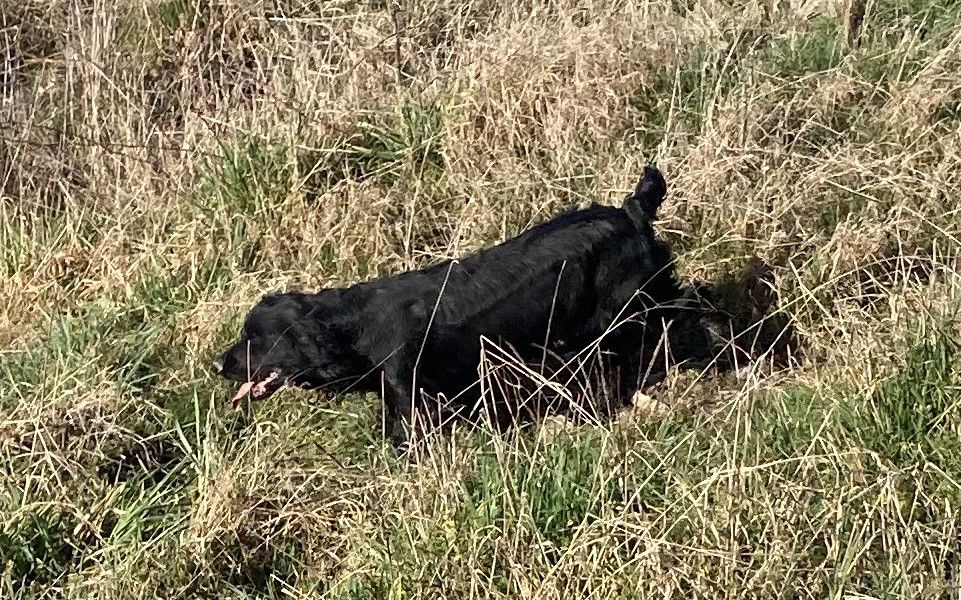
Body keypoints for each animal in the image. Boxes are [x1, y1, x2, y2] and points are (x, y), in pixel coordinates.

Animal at [218, 166, 684, 448]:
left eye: (255, 337)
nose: (218, 365)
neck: (355, 327)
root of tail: (632, 212)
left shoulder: (410, 394)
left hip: (617, 319)